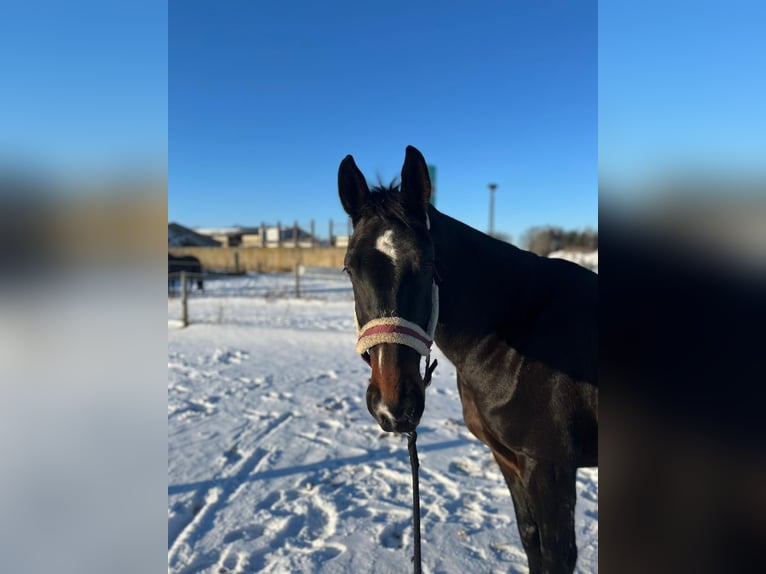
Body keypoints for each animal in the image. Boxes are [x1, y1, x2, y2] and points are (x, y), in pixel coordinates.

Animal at [338, 146, 597, 574]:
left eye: (428, 264)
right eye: (349, 268)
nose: (394, 407)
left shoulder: (550, 466)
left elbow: (556, 554)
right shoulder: (509, 460)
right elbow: (531, 542)